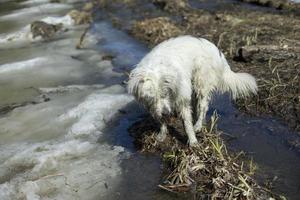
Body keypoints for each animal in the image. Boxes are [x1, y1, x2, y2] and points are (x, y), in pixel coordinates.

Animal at [127, 35, 256, 146]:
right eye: (151, 97)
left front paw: (193, 141)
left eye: (165, 93)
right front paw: (162, 134)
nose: (166, 113)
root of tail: (215, 49)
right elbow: (161, 120)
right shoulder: (154, 106)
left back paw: (198, 125)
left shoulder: (181, 98)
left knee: (203, 106)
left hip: (201, 82)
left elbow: (186, 122)